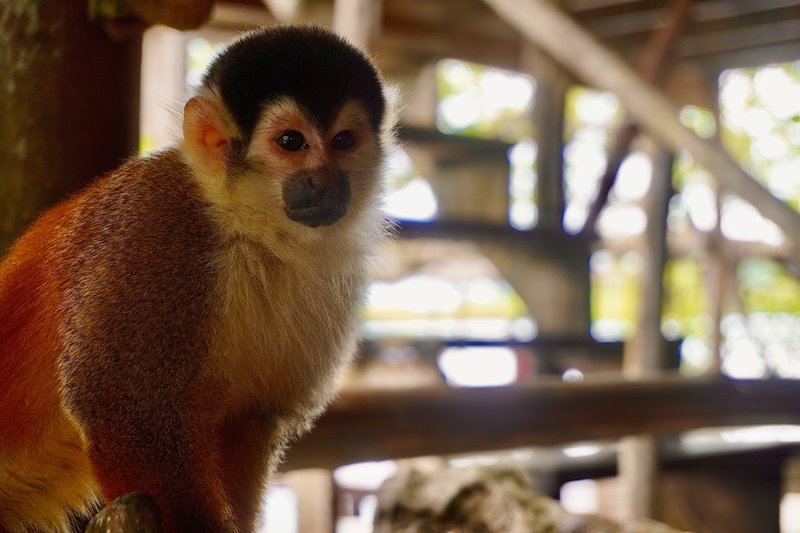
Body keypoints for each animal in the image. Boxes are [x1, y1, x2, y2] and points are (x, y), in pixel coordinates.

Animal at [0, 24, 391, 533]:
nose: (325, 181)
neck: (250, 230)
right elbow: (132, 417)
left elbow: (246, 423)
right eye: (291, 142)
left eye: (344, 140)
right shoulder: (153, 232)